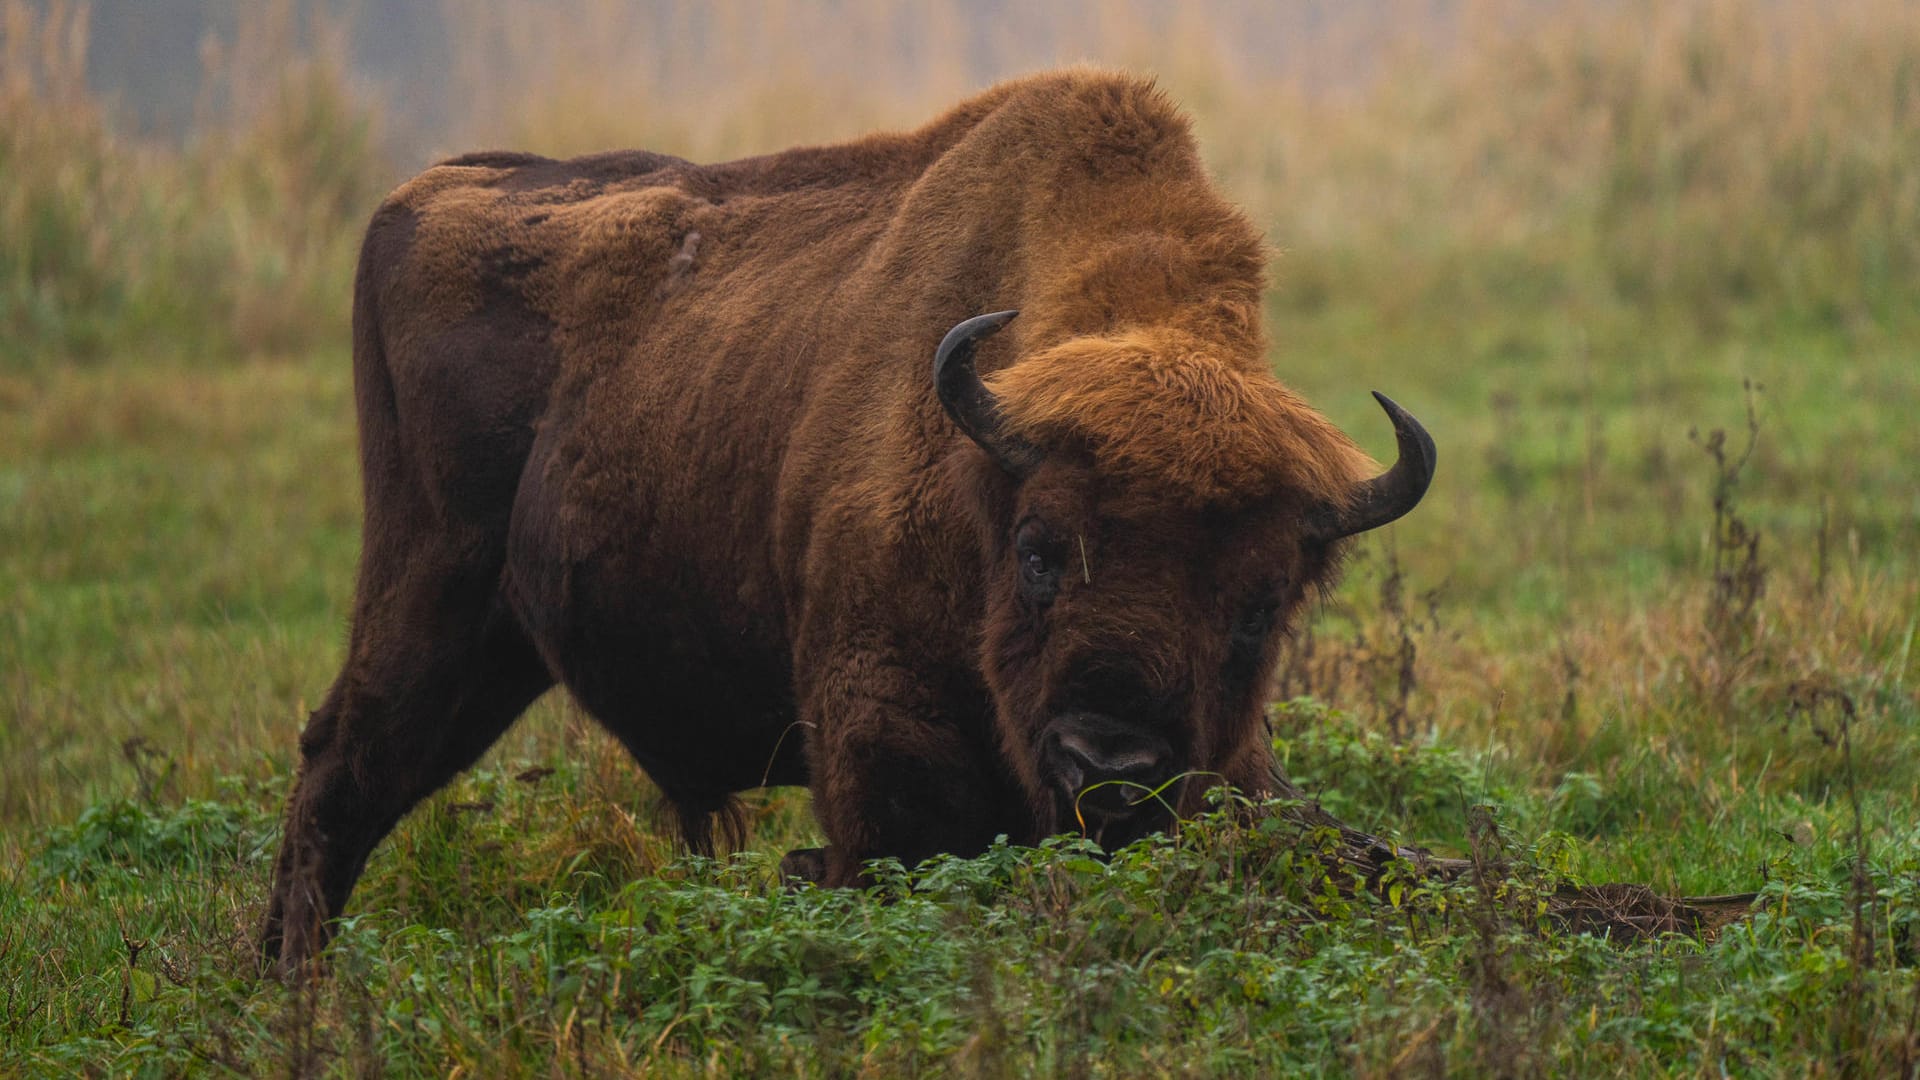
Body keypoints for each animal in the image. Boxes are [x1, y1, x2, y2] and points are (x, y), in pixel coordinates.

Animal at [259, 71, 1428, 972]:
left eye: (1261, 606)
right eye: (1039, 551)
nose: (1109, 765)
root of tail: (423, 191)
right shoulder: (884, 745)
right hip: (430, 595)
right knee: (342, 770)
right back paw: (292, 983)